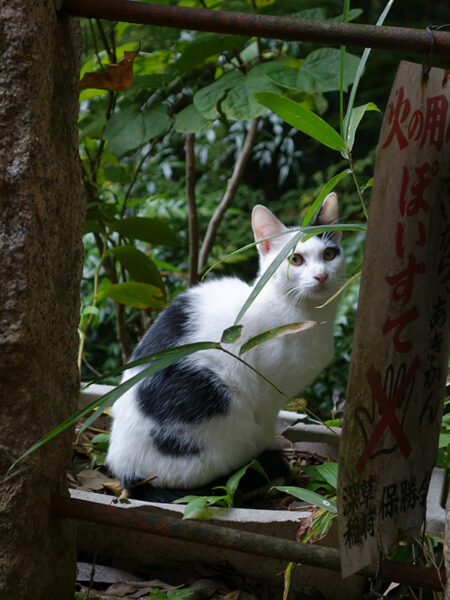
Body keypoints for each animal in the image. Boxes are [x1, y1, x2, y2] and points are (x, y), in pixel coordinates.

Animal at [105, 193, 344, 502]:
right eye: (295, 259)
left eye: (329, 255)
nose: (321, 276)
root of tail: (127, 473)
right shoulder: (268, 395)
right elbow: (266, 426)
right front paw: (270, 459)